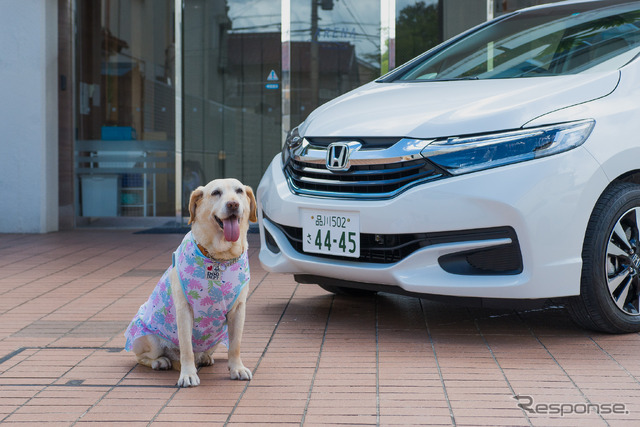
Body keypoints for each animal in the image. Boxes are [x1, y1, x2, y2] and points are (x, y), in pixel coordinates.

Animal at [124, 177, 256, 388]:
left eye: (239, 191)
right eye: (216, 192)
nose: (233, 204)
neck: (219, 258)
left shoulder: (238, 310)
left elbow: (235, 345)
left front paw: (237, 368)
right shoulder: (184, 310)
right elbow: (186, 347)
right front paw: (188, 374)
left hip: (217, 338)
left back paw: (204, 358)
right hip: (149, 337)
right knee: (144, 357)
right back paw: (161, 361)